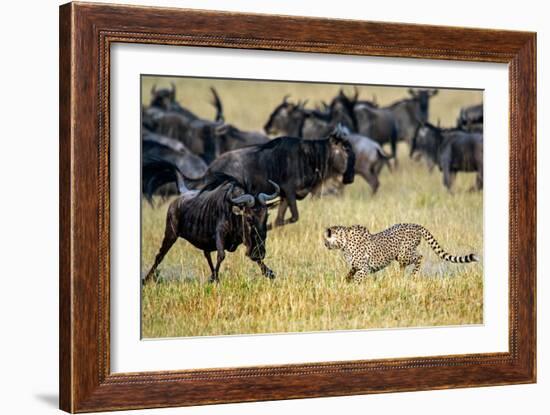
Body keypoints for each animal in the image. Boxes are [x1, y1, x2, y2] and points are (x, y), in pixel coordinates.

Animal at [324, 224, 478, 282]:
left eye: (325, 239)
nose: (324, 245)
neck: (343, 241)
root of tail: (415, 225)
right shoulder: (356, 266)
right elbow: (350, 273)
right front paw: (345, 282)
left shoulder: (364, 268)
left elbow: (357, 277)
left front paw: (354, 287)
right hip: (401, 256)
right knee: (406, 264)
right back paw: (399, 277)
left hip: (404, 254)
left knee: (419, 256)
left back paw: (412, 275)